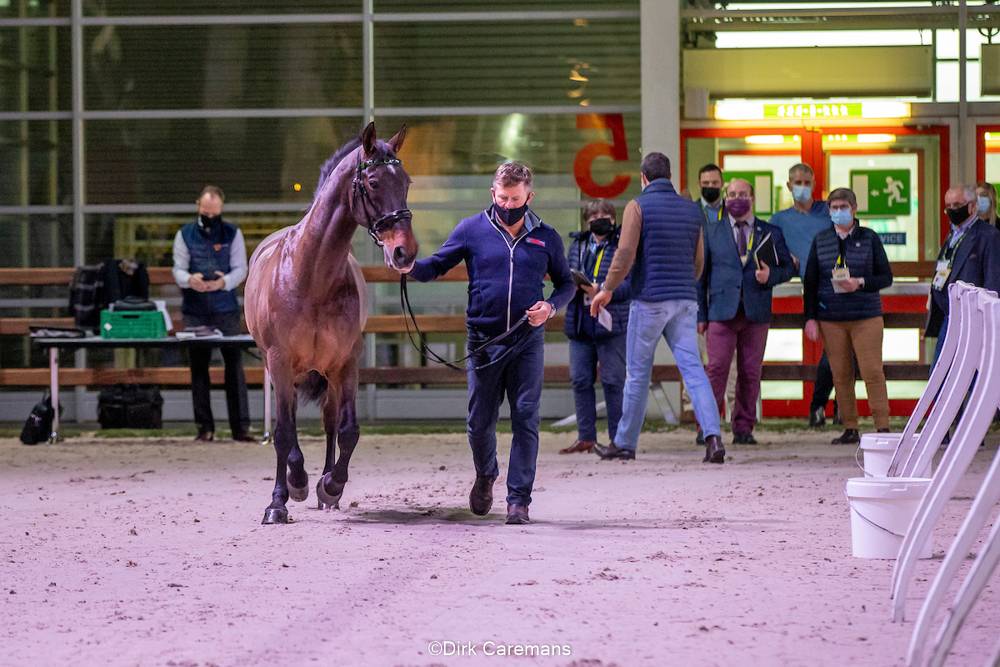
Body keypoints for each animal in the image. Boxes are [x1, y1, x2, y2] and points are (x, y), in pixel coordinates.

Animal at [244, 122, 417, 524]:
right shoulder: (280, 362)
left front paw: (331, 485)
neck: (311, 275)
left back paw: (326, 490)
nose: (405, 252)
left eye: (406, 182)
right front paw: (283, 497)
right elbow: (284, 433)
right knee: (289, 426)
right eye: (372, 182)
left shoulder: (346, 363)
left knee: (329, 422)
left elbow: (348, 430)